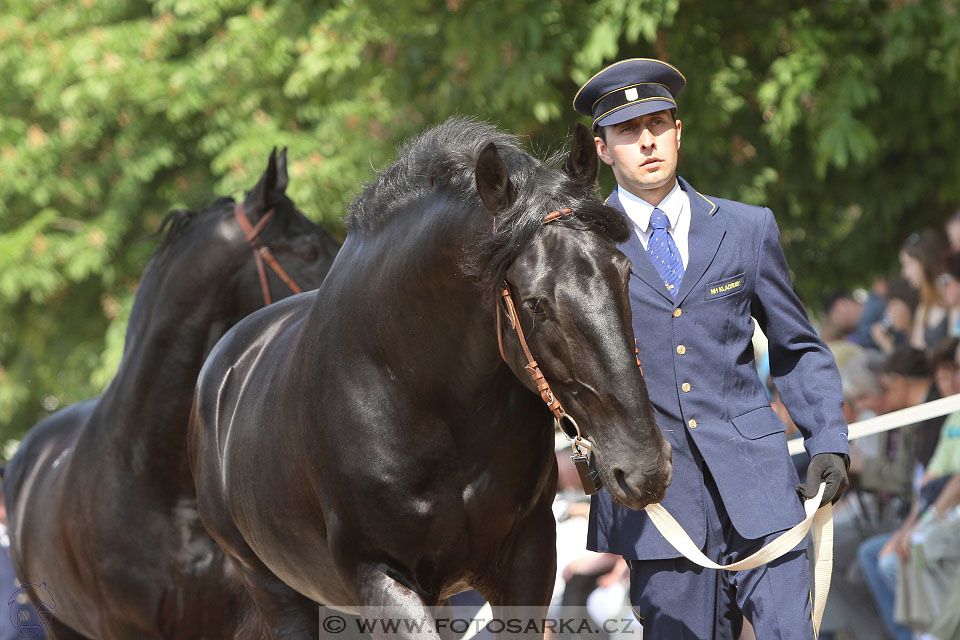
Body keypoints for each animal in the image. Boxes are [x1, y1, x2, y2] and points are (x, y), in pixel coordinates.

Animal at [189, 120, 676, 640]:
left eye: (625, 273)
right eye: (536, 303)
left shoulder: (529, 554)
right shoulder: (380, 574)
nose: (645, 468)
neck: (420, 394)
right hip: (278, 591)